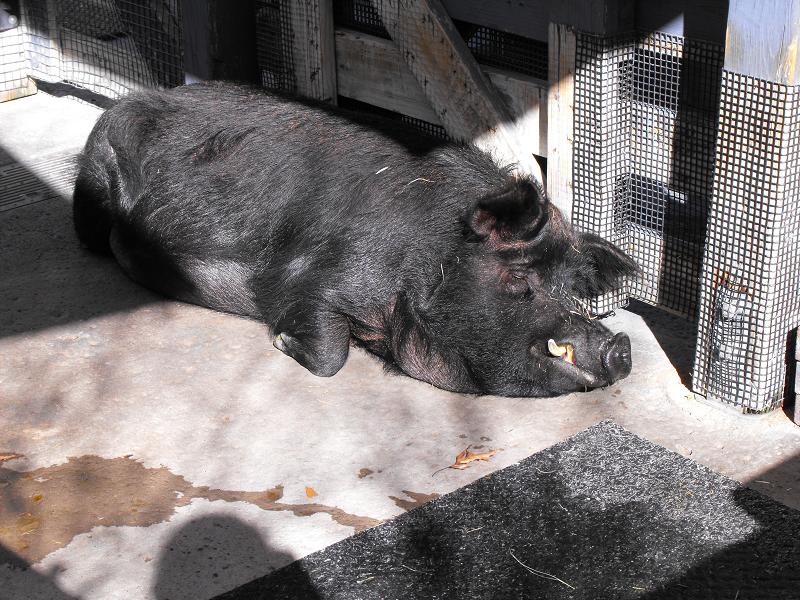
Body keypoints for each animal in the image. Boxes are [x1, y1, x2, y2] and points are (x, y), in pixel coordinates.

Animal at [73, 82, 638, 397]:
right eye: (522, 282)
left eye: (573, 292)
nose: (623, 345)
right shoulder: (309, 279)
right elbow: (331, 355)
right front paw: (282, 341)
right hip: (95, 176)